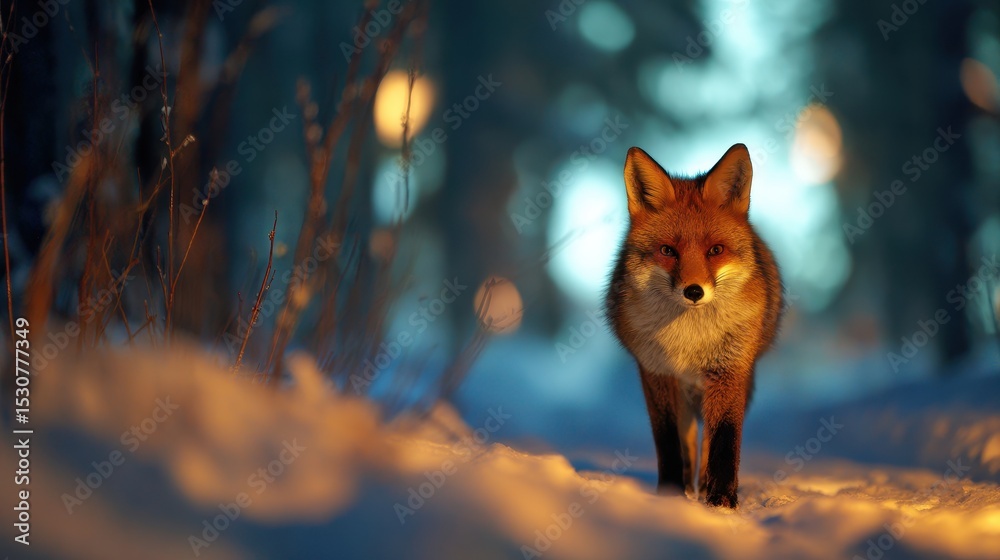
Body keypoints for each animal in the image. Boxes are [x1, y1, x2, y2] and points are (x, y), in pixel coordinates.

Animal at [605, 144, 783, 508]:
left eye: (715, 250)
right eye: (667, 251)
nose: (694, 291)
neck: (690, 340)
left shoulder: (728, 369)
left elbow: (724, 440)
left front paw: (722, 500)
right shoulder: (656, 373)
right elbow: (670, 442)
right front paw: (670, 494)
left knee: (706, 442)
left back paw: (703, 487)